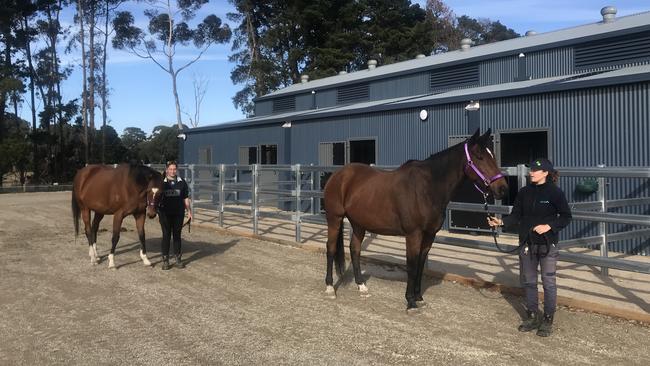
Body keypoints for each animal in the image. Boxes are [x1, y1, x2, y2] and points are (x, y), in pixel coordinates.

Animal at [322, 129, 506, 308]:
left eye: (493, 156)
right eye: (480, 157)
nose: (503, 188)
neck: (427, 188)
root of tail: (338, 175)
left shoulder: (429, 235)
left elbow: (420, 264)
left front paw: (419, 297)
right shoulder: (413, 234)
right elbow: (411, 265)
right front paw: (410, 301)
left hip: (359, 223)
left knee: (355, 249)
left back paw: (361, 286)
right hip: (334, 218)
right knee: (331, 248)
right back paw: (330, 288)